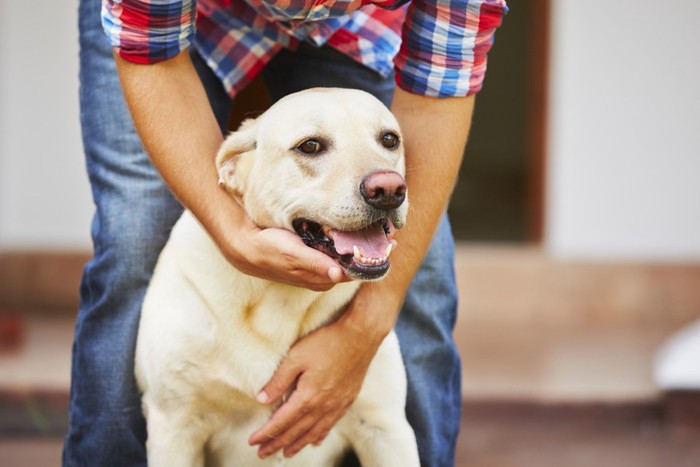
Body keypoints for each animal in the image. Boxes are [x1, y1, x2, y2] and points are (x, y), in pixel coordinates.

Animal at [137, 88, 422, 467]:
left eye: (389, 140)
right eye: (310, 146)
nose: (389, 189)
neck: (281, 300)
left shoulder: (386, 427)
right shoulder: (174, 426)